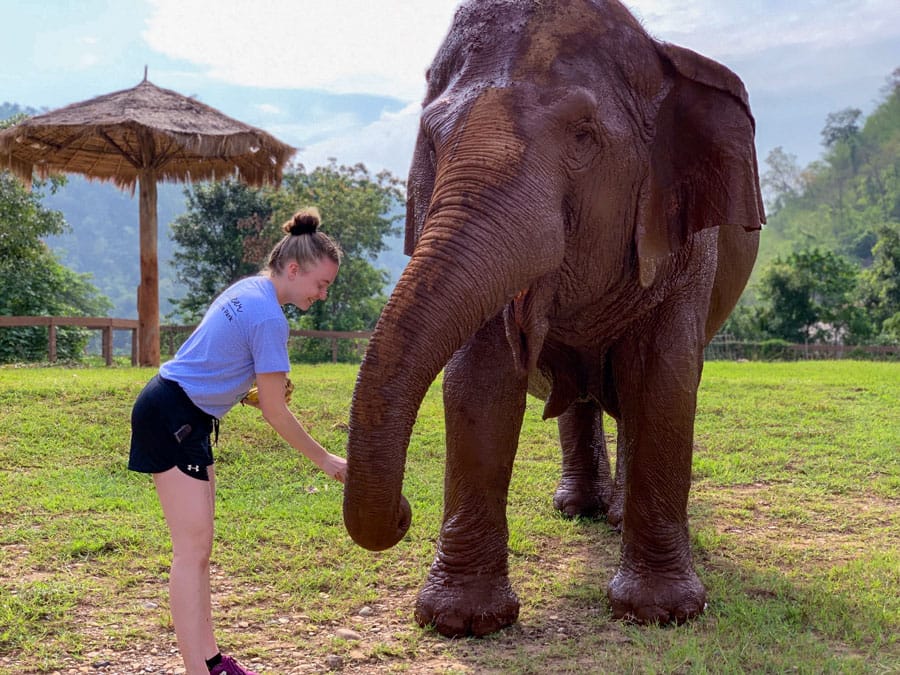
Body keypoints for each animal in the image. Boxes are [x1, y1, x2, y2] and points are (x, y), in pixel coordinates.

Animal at [343, 0, 764, 638]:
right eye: (433, 140)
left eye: (584, 136)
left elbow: (663, 381)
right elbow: (478, 385)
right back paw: (582, 509)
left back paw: (613, 518)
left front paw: (663, 612)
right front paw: (462, 621)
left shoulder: (687, 252)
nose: (402, 513)